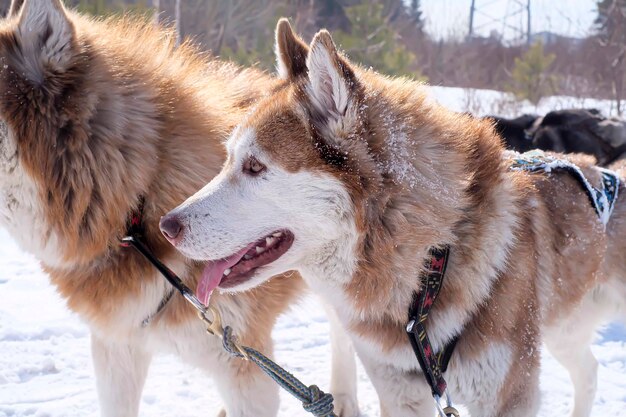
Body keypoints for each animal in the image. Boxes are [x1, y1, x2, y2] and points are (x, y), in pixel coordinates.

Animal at [165, 20, 624, 416]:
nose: (166, 227)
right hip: (563, 332)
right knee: (589, 371)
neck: (428, 266)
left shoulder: (509, 397)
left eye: (255, 166)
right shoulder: (401, 393)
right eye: (228, 159)